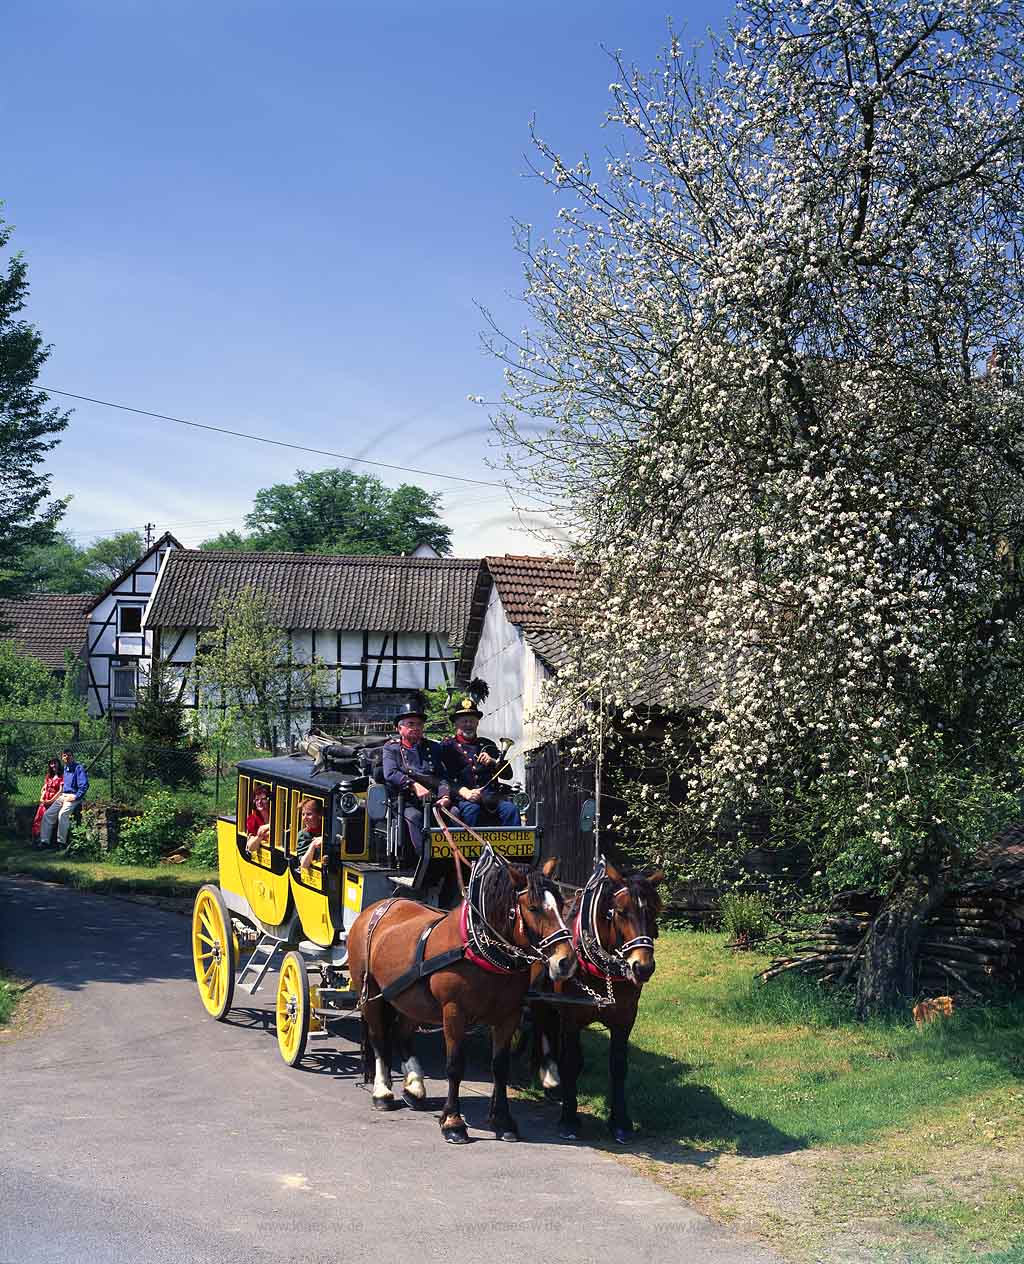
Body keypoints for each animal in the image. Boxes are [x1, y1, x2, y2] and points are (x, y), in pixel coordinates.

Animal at [346, 849, 573, 1147]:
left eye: (561, 904)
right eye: (534, 907)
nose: (565, 961)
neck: (480, 948)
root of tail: (377, 908)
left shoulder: (508, 1014)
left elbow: (500, 1067)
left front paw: (503, 1121)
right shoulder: (454, 1012)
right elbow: (455, 1066)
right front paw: (453, 1123)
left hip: (409, 997)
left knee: (402, 1033)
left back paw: (414, 1088)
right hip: (371, 992)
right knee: (379, 1038)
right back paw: (383, 1092)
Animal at [530, 859, 667, 1147]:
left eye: (653, 912)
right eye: (621, 912)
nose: (643, 967)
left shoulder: (625, 1018)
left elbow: (618, 1066)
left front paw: (620, 1123)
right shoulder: (571, 1016)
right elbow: (571, 1061)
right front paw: (569, 1120)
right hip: (540, 998)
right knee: (542, 1027)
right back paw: (548, 1074)